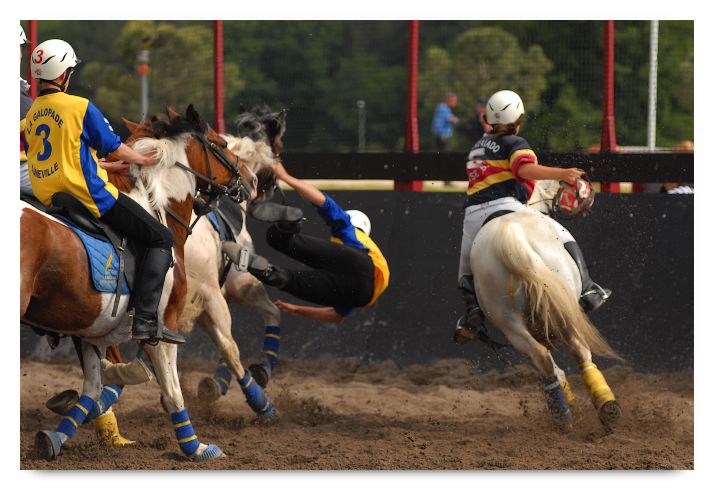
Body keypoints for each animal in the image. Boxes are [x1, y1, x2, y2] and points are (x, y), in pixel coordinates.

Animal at [21, 105, 260, 461]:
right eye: (221, 144)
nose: (251, 179)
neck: (157, 208)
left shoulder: (90, 330)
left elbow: (92, 391)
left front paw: (56, 437)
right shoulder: (163, 326)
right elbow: (173, 391)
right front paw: (196, 447)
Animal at [469, 179, 623, 431]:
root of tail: (511, 237)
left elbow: (552, 364)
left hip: (510, 320)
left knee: (541, 356)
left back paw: (566, 415)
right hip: (564, 312)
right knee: (580, 350)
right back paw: (604, 409)